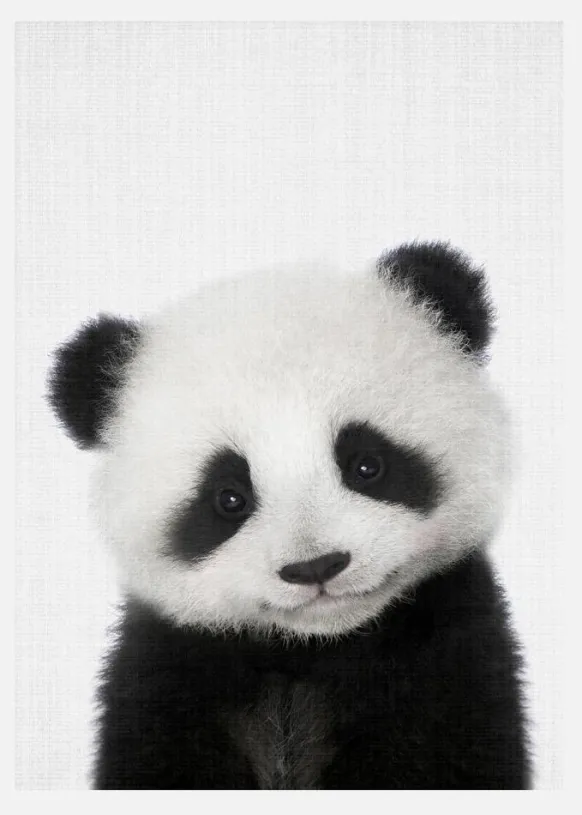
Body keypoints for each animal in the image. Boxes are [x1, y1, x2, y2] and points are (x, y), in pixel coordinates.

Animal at [47, 241, 531, 790]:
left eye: (367, 465)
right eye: (228, 498)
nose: (315, 567)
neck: (310, 648)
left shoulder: (447, 658)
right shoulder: (169, 674)